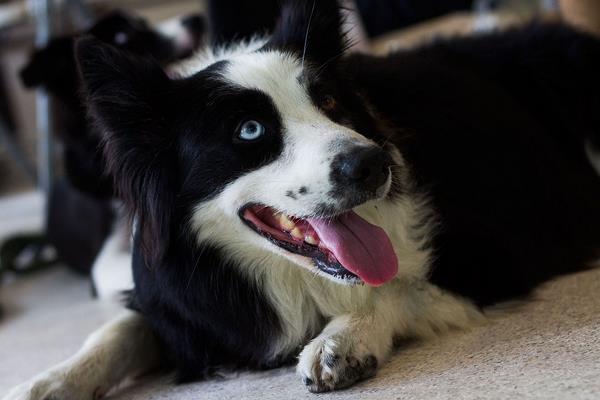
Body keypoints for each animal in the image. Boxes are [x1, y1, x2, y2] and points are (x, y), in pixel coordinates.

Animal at [4, 0, 600, 398]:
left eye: (331, 101)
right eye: (249, 130)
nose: (374, 165)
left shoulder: (495, 251)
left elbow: (401, 286)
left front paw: (344, 340)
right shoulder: (183, 302)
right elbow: (121, 326)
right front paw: (51, 380)